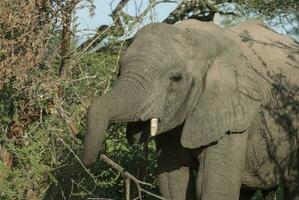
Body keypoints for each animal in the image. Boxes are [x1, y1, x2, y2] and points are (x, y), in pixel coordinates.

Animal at [80, 19, 299, 200]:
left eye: (176, 78)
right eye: (119, 71)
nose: (90, 162)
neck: (197, 38)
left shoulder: (232, 115)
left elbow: (215, 188)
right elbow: (172, 181)